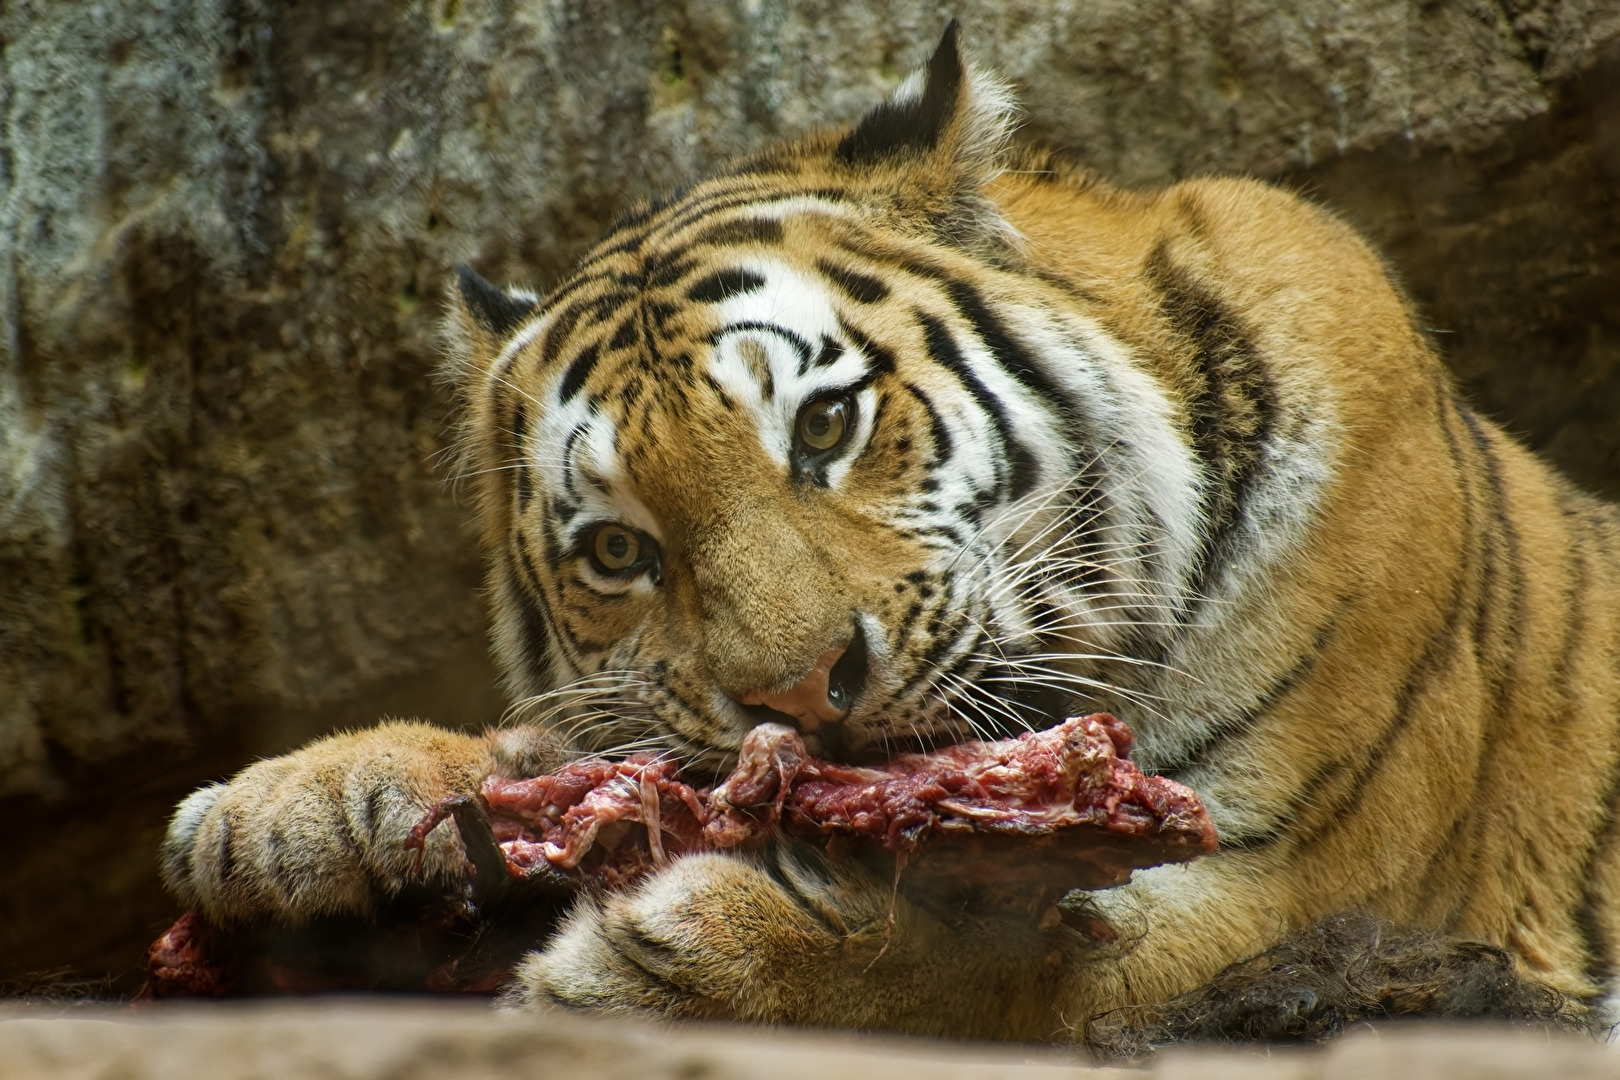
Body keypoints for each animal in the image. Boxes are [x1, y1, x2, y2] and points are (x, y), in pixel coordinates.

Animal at [160, 23, 1620, 1044]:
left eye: (823, 426)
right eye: (621, 552)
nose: (805, 696)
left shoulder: (1313, 885)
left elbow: (1004, 970)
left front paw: (687, 953)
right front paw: (297, 814)